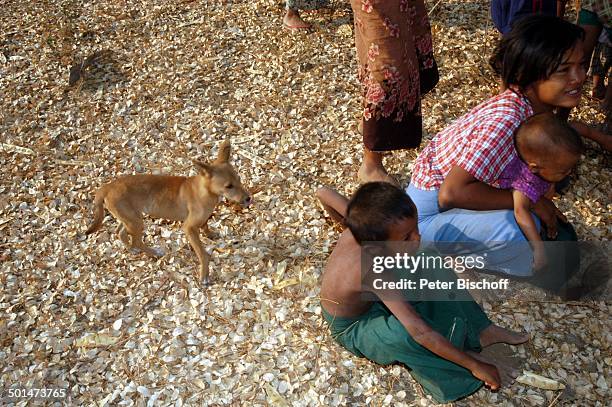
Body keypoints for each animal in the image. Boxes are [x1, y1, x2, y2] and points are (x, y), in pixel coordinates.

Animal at [85, 141, 250, 286]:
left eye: (239, 179)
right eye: (229, 186)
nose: (249, 199)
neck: (205, 190)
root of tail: (106, 188)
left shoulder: (202, 219)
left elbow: (205, 224)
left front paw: (210, 234)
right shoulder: (189, 227)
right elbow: (203, 254)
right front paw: (204, 275)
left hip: (130, 217)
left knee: (120, 232)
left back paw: (132, 249)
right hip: (135, 221)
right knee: (136, 241)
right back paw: (154, 252)